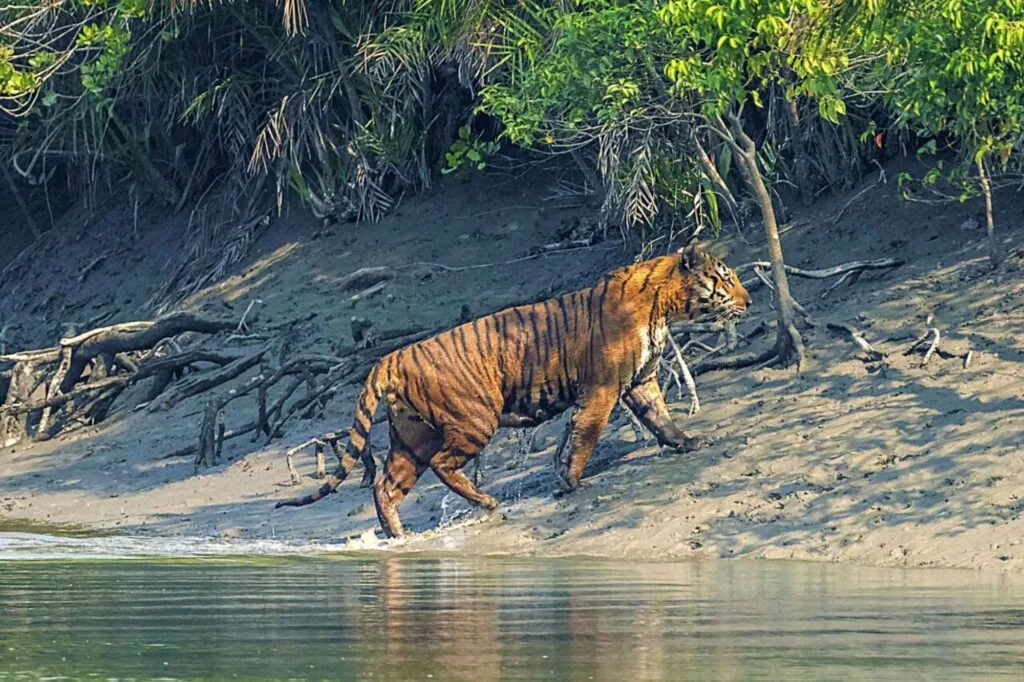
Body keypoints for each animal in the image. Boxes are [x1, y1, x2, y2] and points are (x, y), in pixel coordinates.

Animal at [275, 244, 752, 538]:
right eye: (725, 279)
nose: (748, 302)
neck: (662, 307)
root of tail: (390, 357)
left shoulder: (641, 380)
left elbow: (661, 418)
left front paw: (689, 442)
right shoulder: (601, 389)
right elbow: (586, 436)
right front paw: (570, 482)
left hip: (412, 437)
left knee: (387, 486)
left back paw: (398, 535)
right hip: (473, 420)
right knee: (444, 466)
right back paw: (486, 502)